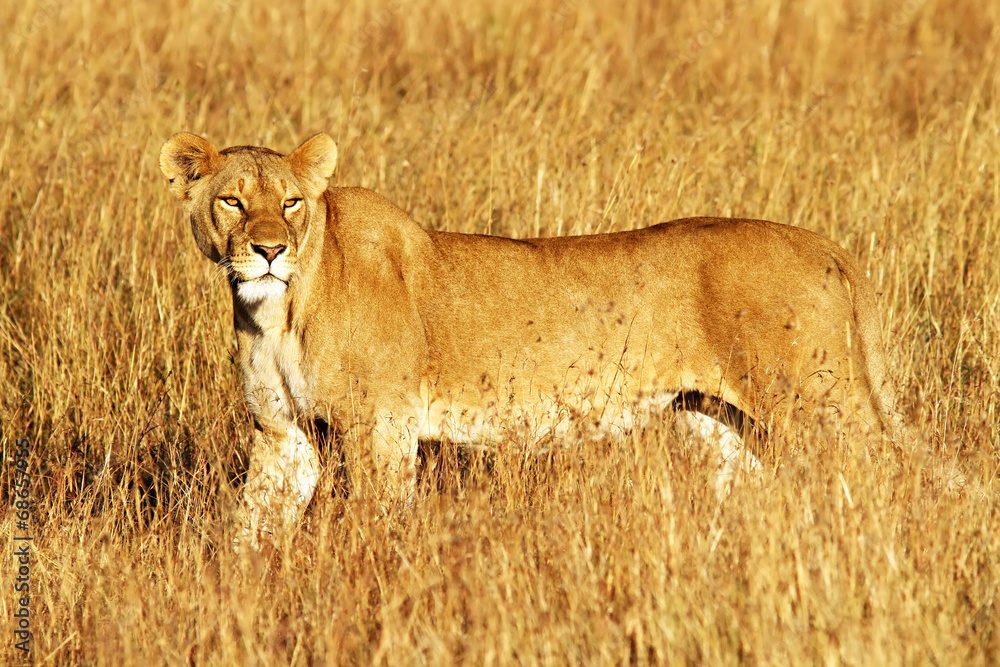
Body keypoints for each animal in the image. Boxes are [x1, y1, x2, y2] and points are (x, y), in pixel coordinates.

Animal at [159, 132, 904, 547]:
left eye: (291, 202)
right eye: (231, 201)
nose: (269, 251)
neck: (277, 310)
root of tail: (826, 245)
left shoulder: (381, 427)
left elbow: (374, 522)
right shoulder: (284, 434)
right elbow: (246, 530)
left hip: (820, 406)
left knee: (894, 476)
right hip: (724, 427)